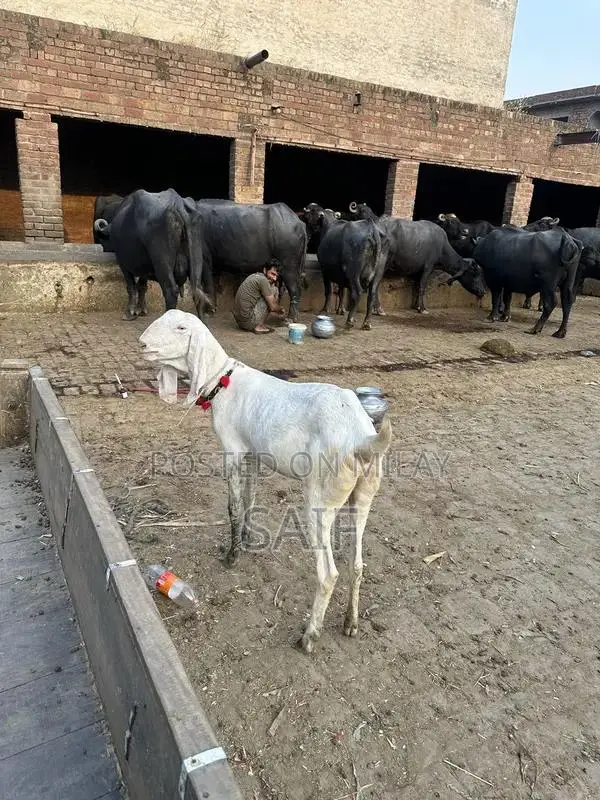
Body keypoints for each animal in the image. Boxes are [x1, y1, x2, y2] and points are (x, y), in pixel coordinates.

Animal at [139, 309, 392, 653]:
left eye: (181, 328)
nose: (142, 343)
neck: (223, 381)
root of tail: (361, 438)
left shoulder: (232, 450)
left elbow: (233, 506)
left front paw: (232, 556)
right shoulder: (255, 454)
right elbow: (250, 498)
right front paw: (246, 539)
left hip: (320, 499)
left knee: (328, 574)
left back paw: (309, 636)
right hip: (363, 494)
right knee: (356, 564)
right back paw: (350, 622)